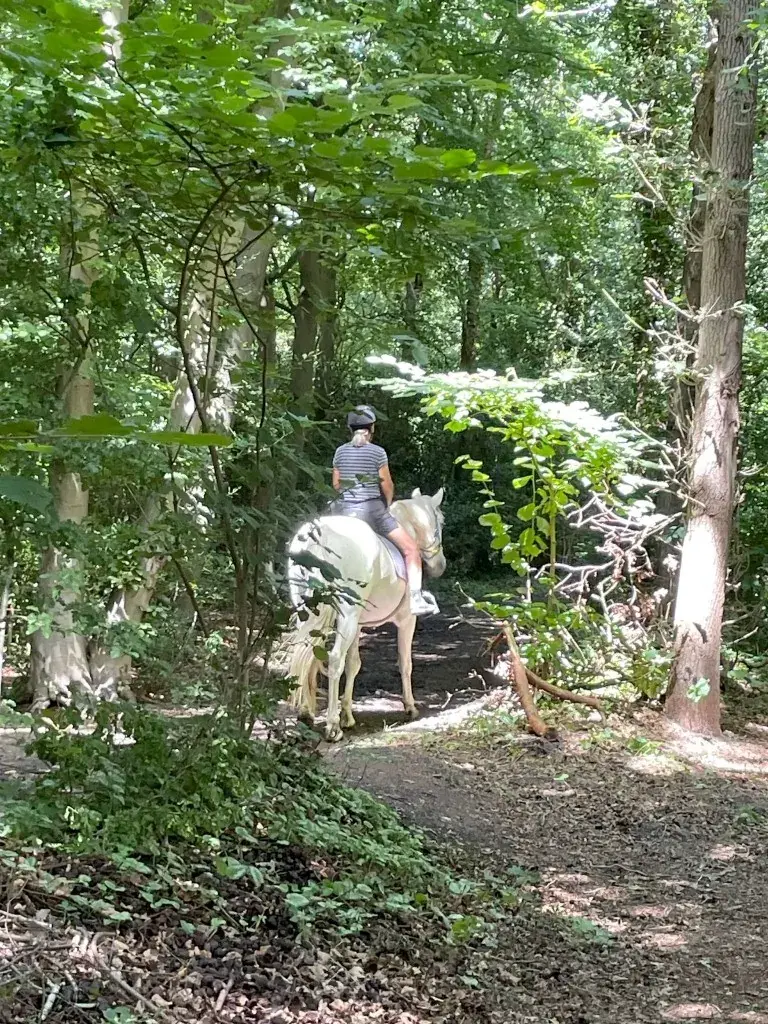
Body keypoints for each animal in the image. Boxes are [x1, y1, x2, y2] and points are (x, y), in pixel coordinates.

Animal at [286, 488, 446, 741]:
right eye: (441, 521)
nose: (440, 565)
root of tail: (319, 538)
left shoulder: (359, 624)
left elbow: (354, 664)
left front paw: (348, 715)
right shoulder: (406, 620)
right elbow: (405, 662)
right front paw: (410, 707)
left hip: (310, 611)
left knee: (307, 653)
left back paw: (305, 714)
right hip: (346, 615)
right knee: (334, 659)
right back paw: (332, 727)